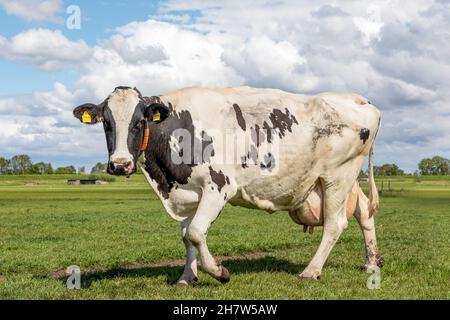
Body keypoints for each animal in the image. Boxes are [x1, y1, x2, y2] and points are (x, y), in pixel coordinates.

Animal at [74, 85, 384, 284]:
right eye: (107, 123)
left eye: (139, 122)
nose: (120, 165)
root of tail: (357, 99)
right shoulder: (190, 192)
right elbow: (186, 236)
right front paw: (187, 277)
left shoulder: (218, 187)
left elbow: (197, 233)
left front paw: (218, 272)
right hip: (346, 180)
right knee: (364, 212)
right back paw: (372, 262)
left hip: (337, 177)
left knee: (334, 224)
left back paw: (311, 271)